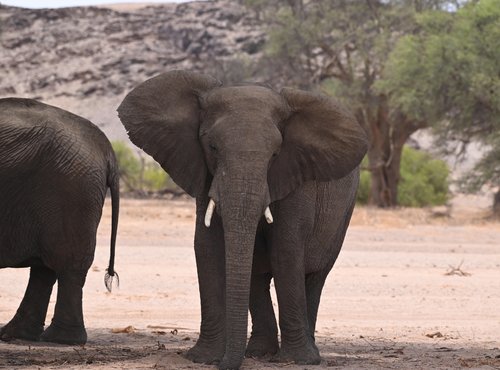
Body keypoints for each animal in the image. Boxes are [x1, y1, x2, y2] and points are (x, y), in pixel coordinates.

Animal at [0, 97, 119, 344]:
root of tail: (106, 149)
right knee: (44, 268)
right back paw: (15, 335)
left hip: (69, 187)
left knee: (67, 265)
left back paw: (60, 339)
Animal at [118, 71, 368, 368]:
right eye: (213, 147)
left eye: (275, 154)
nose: (224, 362)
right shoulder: (205, 174)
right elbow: (208, 247)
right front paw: (204, 358)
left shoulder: (297, 177)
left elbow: (286, 249)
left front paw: (296, 360)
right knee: (256, 276)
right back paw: (258, 352)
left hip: (342, 216)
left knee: (314, 275)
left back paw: (307, 354)